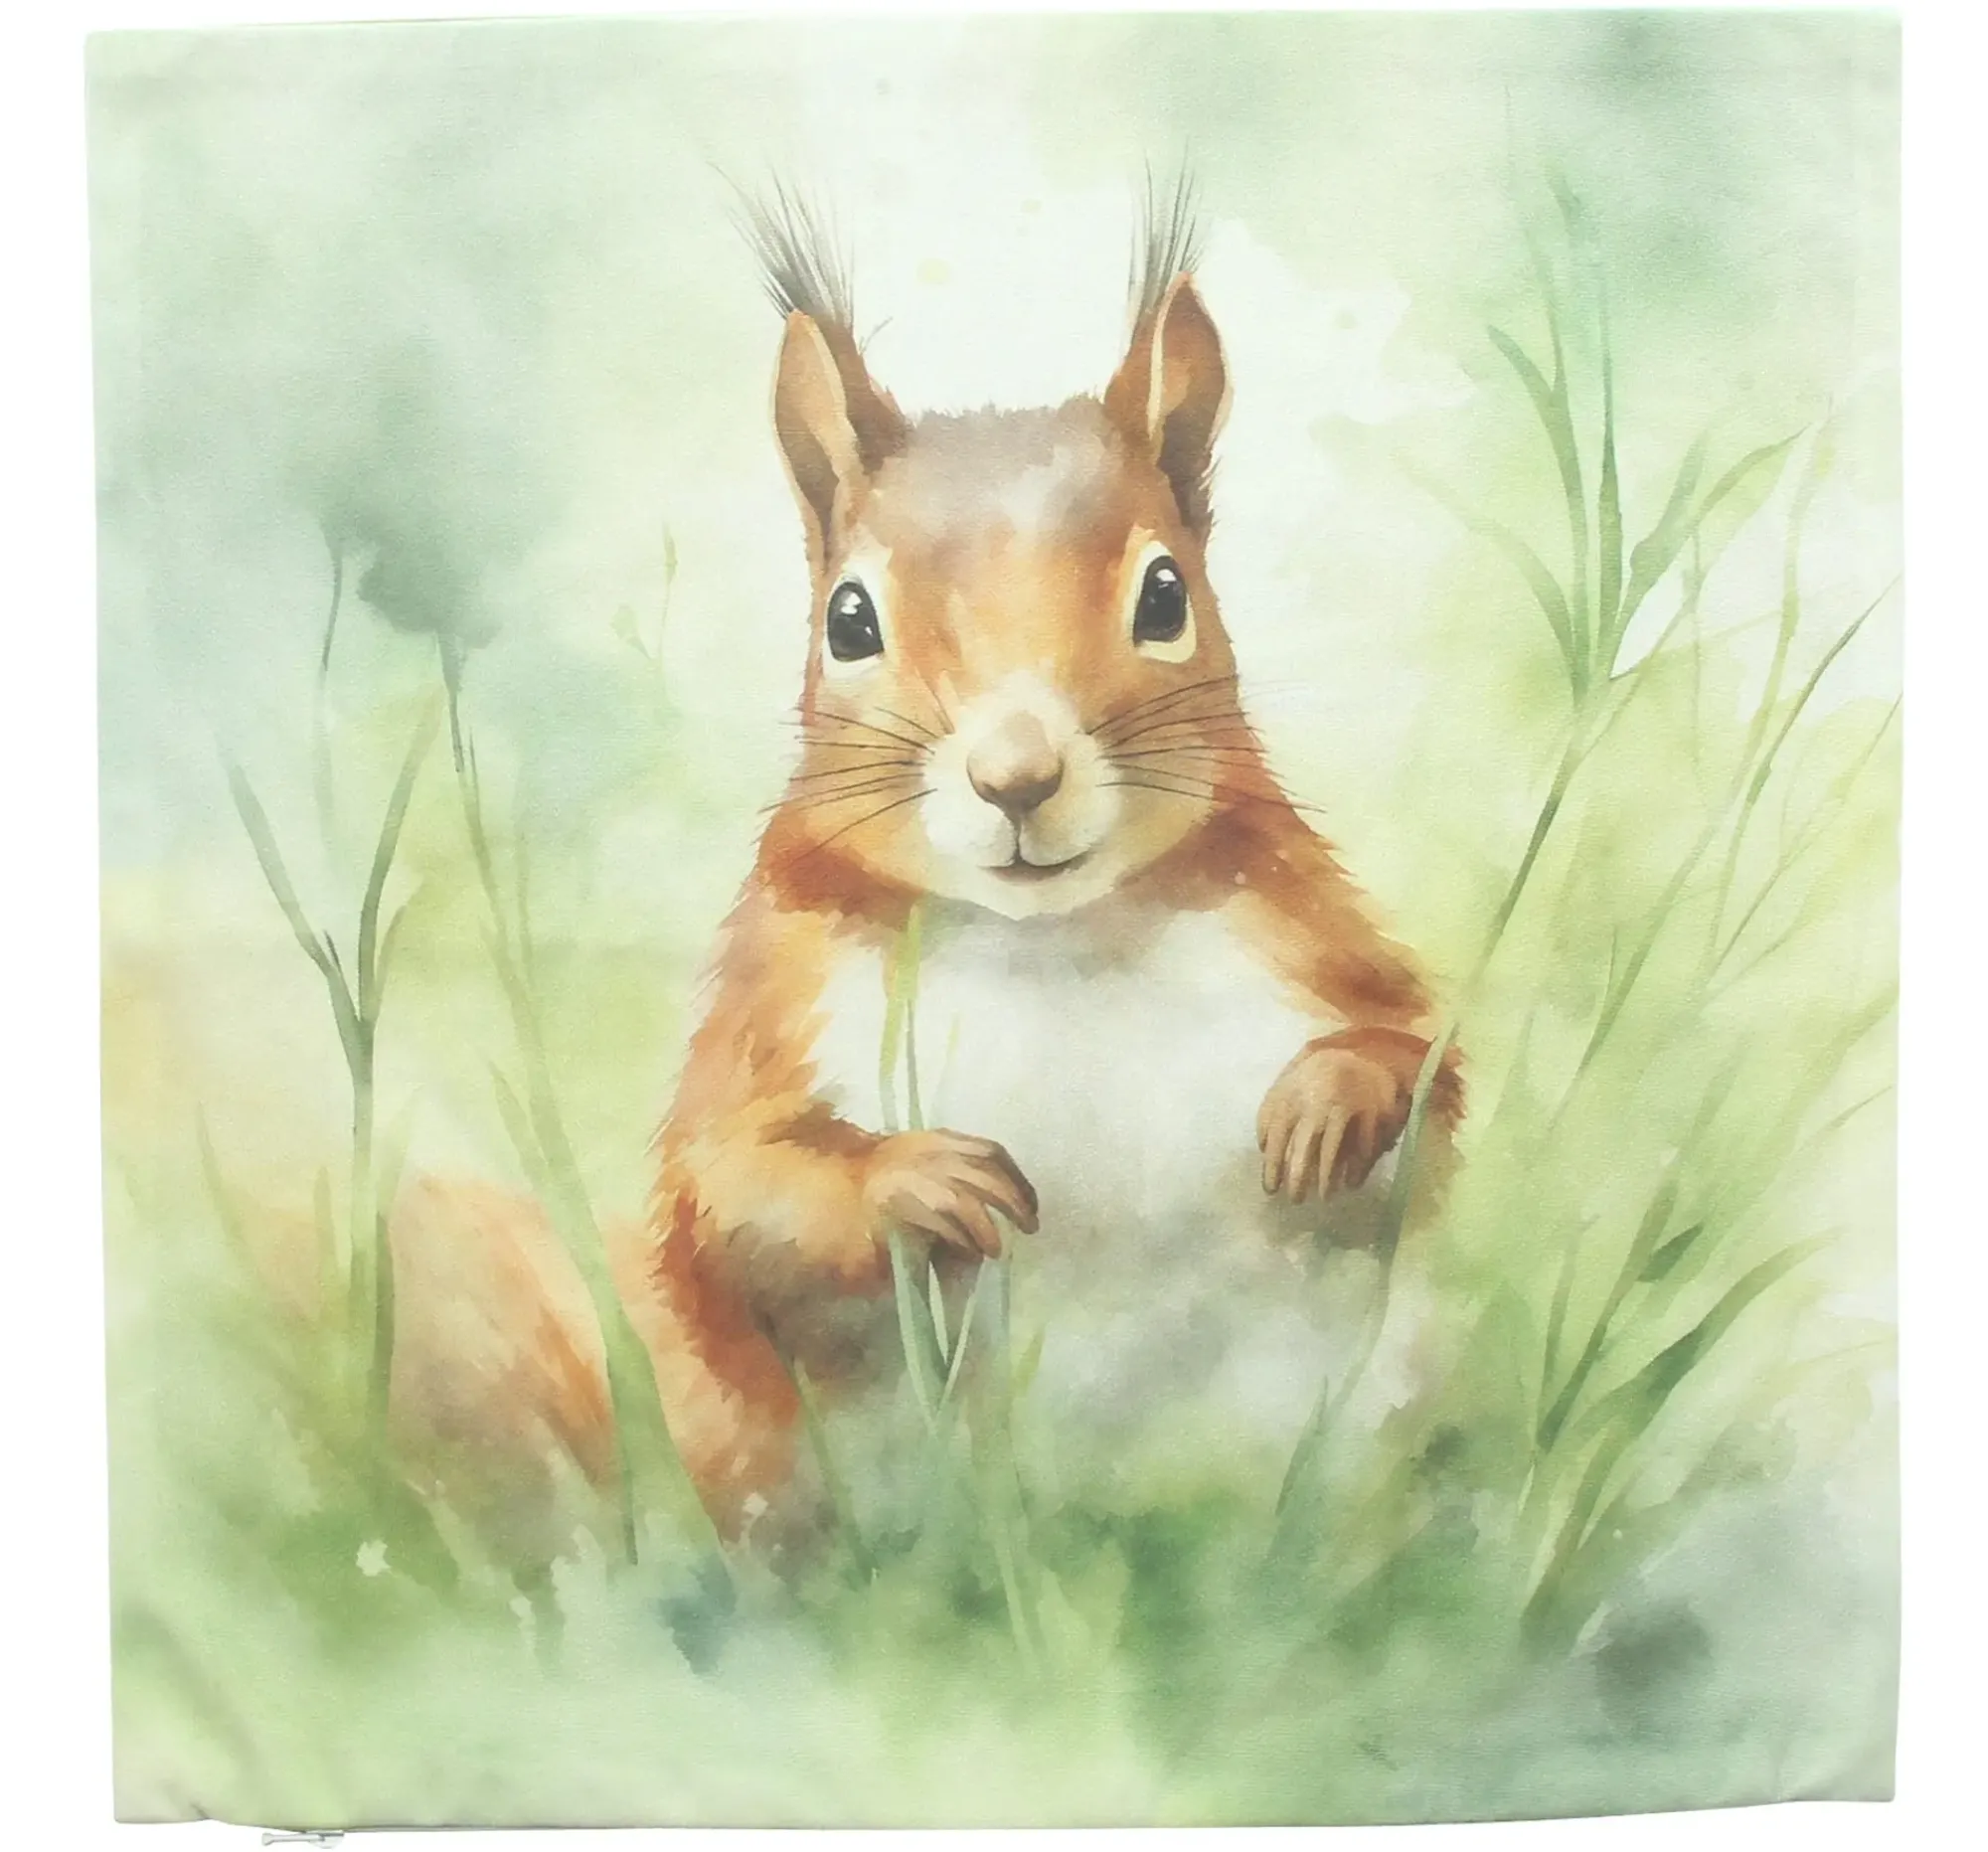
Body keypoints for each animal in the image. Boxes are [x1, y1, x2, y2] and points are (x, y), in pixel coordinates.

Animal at [639, 189, 1465, 1544]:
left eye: (1166, 595)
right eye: (848, 620)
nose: (1015, 776)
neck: (1054, 941)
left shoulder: (1303, 936)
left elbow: (1422, 1063)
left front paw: (1328, 1099)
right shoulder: (773, 1001)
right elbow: (731, 1178)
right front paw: (914, 1181)